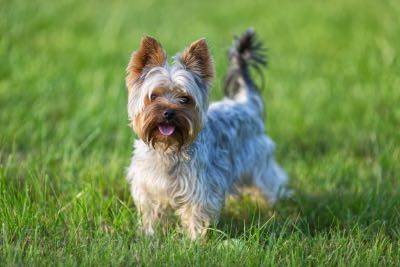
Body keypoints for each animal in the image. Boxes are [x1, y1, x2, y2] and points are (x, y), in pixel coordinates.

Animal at [125, 29, 288, 241]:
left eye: (185, 98)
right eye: (154, 96)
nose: (169, 113)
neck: (167, 147)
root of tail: (247, 104)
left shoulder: (199, 188)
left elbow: (195, 214)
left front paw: (194, 242)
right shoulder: (148, 187)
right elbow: (151, 213)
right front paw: (149, 236)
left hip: (258, 162)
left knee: (270, 182)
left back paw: (273, 205)